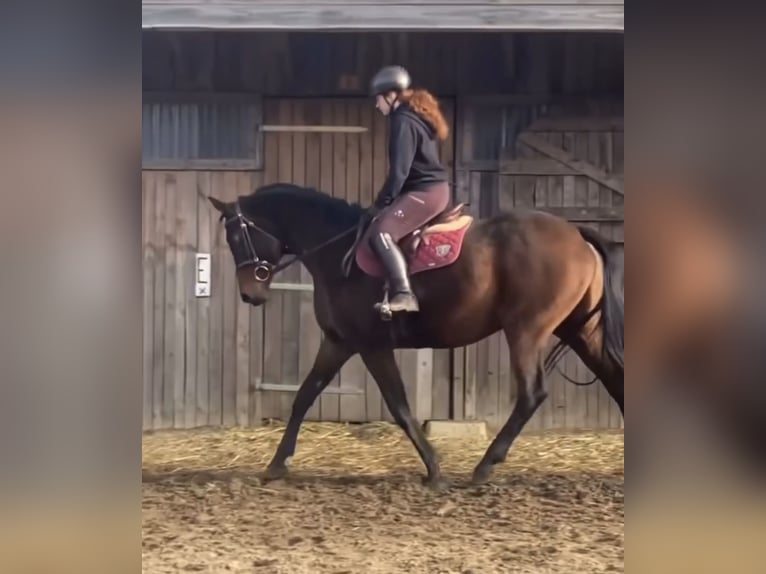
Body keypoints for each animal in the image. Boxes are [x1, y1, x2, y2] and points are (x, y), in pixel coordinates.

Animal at [208, 182, 624, 488]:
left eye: (236, 237)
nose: (250, 294)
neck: (339, 249)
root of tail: (575, 233)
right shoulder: (339, 341)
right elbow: (304, 396)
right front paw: (277, 464)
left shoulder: (372, 346)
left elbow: (400, 406)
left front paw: (435, 469)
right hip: (581, 330)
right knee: (614, 379)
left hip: (526, 331)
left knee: (531, 394)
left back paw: (484, 466)